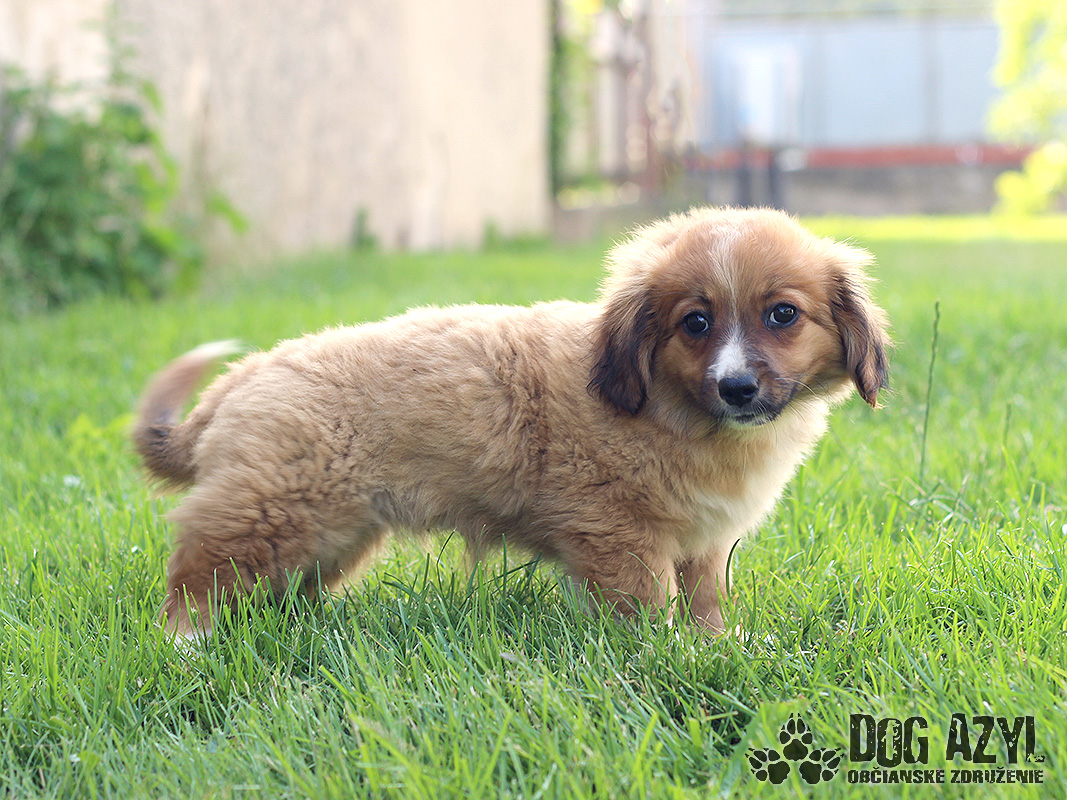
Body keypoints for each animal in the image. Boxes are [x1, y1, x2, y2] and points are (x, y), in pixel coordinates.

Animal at [133, 207, 889, 638]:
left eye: (783, 315)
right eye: (694, 324)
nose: (736, 388)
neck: (674, 412)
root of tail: (239, 381)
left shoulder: (703, 541)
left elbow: (705, 600)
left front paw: (715, 647)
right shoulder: (618, 534)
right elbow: (649, 606)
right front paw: (665, 655)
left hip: (327, 534)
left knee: (274, 591)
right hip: (269, 513)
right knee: (196, 580)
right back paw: (190, 648)